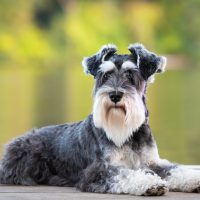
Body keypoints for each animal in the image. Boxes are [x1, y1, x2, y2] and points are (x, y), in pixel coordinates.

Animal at [0, 43, 200, 195]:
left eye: (130, 75)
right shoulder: (99, 169)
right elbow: (124, 174)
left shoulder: (152, 162)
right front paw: (149, 183)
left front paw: (193, 179)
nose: (115, 95)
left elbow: (175, 169)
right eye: (106, 75)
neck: (128, 133)